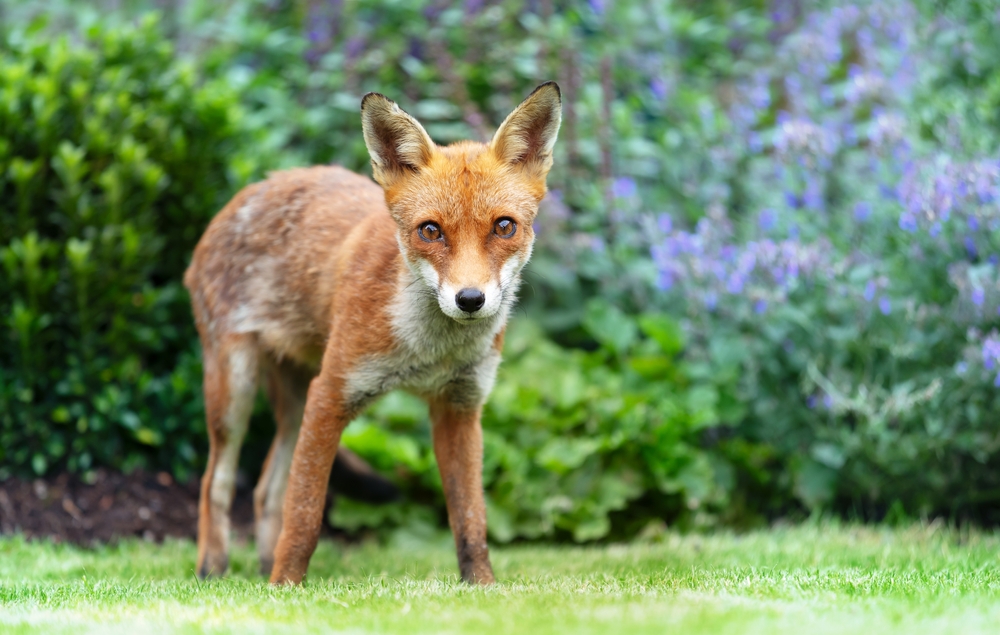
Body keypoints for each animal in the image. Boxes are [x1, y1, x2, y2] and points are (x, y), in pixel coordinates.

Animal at [186, 82, 564, 584]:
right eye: (430, 231)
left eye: (504, 227)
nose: (470, 299)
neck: (428, 353)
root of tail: (244, 192)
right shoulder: (331, 395)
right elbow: (305, 514)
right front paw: (287, 585)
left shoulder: (459, 408)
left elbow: (471, 521)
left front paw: (482, 587)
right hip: (235, 391)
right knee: (218, 481)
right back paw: (215, 569)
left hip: (293, 402)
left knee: (267, 491)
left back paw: (263, 570)